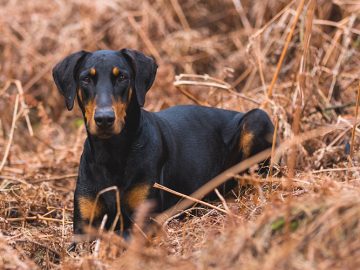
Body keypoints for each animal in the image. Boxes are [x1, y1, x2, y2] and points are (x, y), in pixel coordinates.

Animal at [52, 48, 274, 236]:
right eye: (86, 79)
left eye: (122, 77)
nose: (104, 119)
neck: (112, 153)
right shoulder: (82, 227)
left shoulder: (144, 220)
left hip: (256, 119)